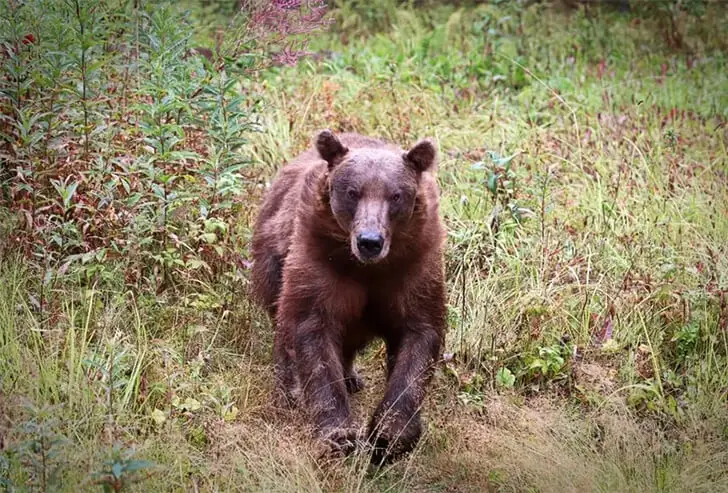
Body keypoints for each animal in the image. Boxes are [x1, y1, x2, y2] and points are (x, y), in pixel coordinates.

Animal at [250, 130, 446, 464]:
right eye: (352, 192)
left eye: (396, 195)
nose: (370, 241)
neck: (368, 268)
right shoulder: (319, 259)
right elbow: (313, 331)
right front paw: (339, 434)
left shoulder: (415, 266)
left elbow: (419, 337)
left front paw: (389, 434)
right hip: (273, 257)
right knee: (283, 325)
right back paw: (289, 390)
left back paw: (352, 378)